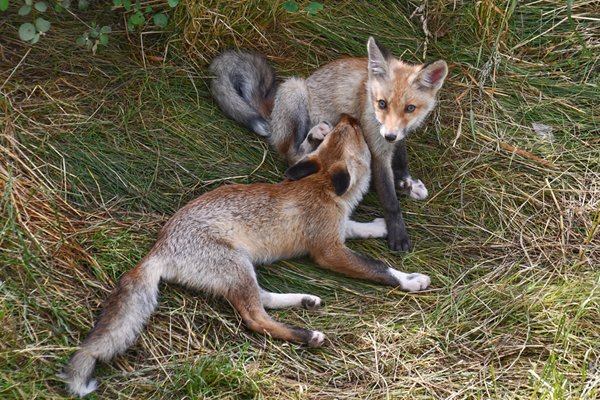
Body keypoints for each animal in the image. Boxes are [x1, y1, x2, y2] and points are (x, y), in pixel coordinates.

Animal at [58, 115, 428, 396]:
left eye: (347, 128)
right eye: (359, 136)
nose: (349, 116)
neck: (322, 187)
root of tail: (159, 246)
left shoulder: (336, 231)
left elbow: (360, 229)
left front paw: (381, 227)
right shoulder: (327, 250)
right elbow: (379, 267)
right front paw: (409, 280)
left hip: (242, 271)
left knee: (263, 300)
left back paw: (305, 300)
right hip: (235, 268)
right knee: (255, 318)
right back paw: (306, 336)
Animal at [209, 36, 448, 252]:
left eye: (410, 108)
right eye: (382, 103)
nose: (389, 135)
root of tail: (273, 112)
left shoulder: (398, 139)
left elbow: (400, 162)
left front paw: (406, 183)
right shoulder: (376, 147)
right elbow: (390, 201)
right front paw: (398, 234)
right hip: (295, 90)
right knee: (293, 154)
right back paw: (315, 137)